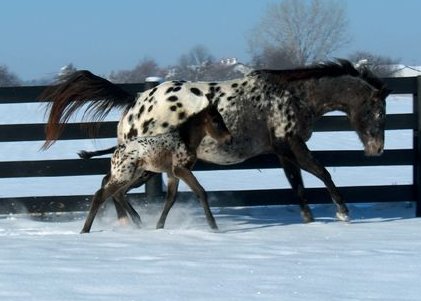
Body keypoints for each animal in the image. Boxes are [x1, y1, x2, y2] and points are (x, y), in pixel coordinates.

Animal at [80, 104, 231, 233]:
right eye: (216, 121)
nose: (228, 139)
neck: (185, 139)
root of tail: (117, 150)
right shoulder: (180, 169)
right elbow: (201, 192)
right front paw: (213, 226)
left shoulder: (172, 174)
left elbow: (171, 199)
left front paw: (159, 226)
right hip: (125, 175)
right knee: (101, 194)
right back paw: (85, 230)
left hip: (134, 174)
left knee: (118, 193)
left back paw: (138, 222)